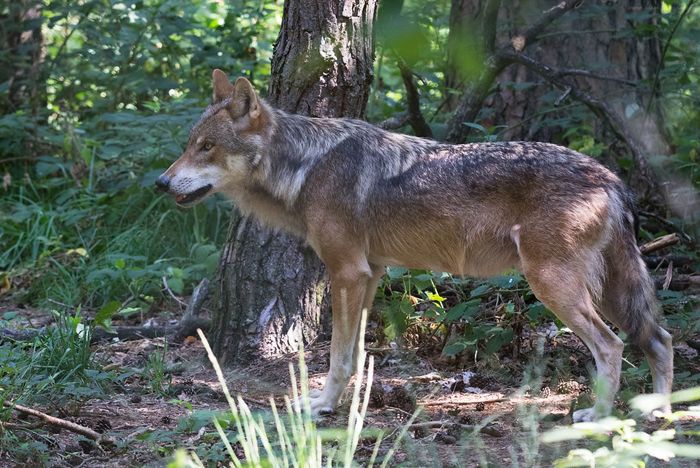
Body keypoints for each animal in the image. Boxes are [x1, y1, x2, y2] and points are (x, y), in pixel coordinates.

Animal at [154, 70, 672, 424]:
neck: (304, 165)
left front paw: (320, 407)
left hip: (554, 287)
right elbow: (353, 353)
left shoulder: (347, 274)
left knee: (612, 345)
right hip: (605, 290)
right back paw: (659, 413)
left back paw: (599, 416)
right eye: (189, 145)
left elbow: (337, 356)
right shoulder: (369, 276)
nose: (160, 183)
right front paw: (338, 404)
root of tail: (611, 178)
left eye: (206, 148)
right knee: (660, 339)